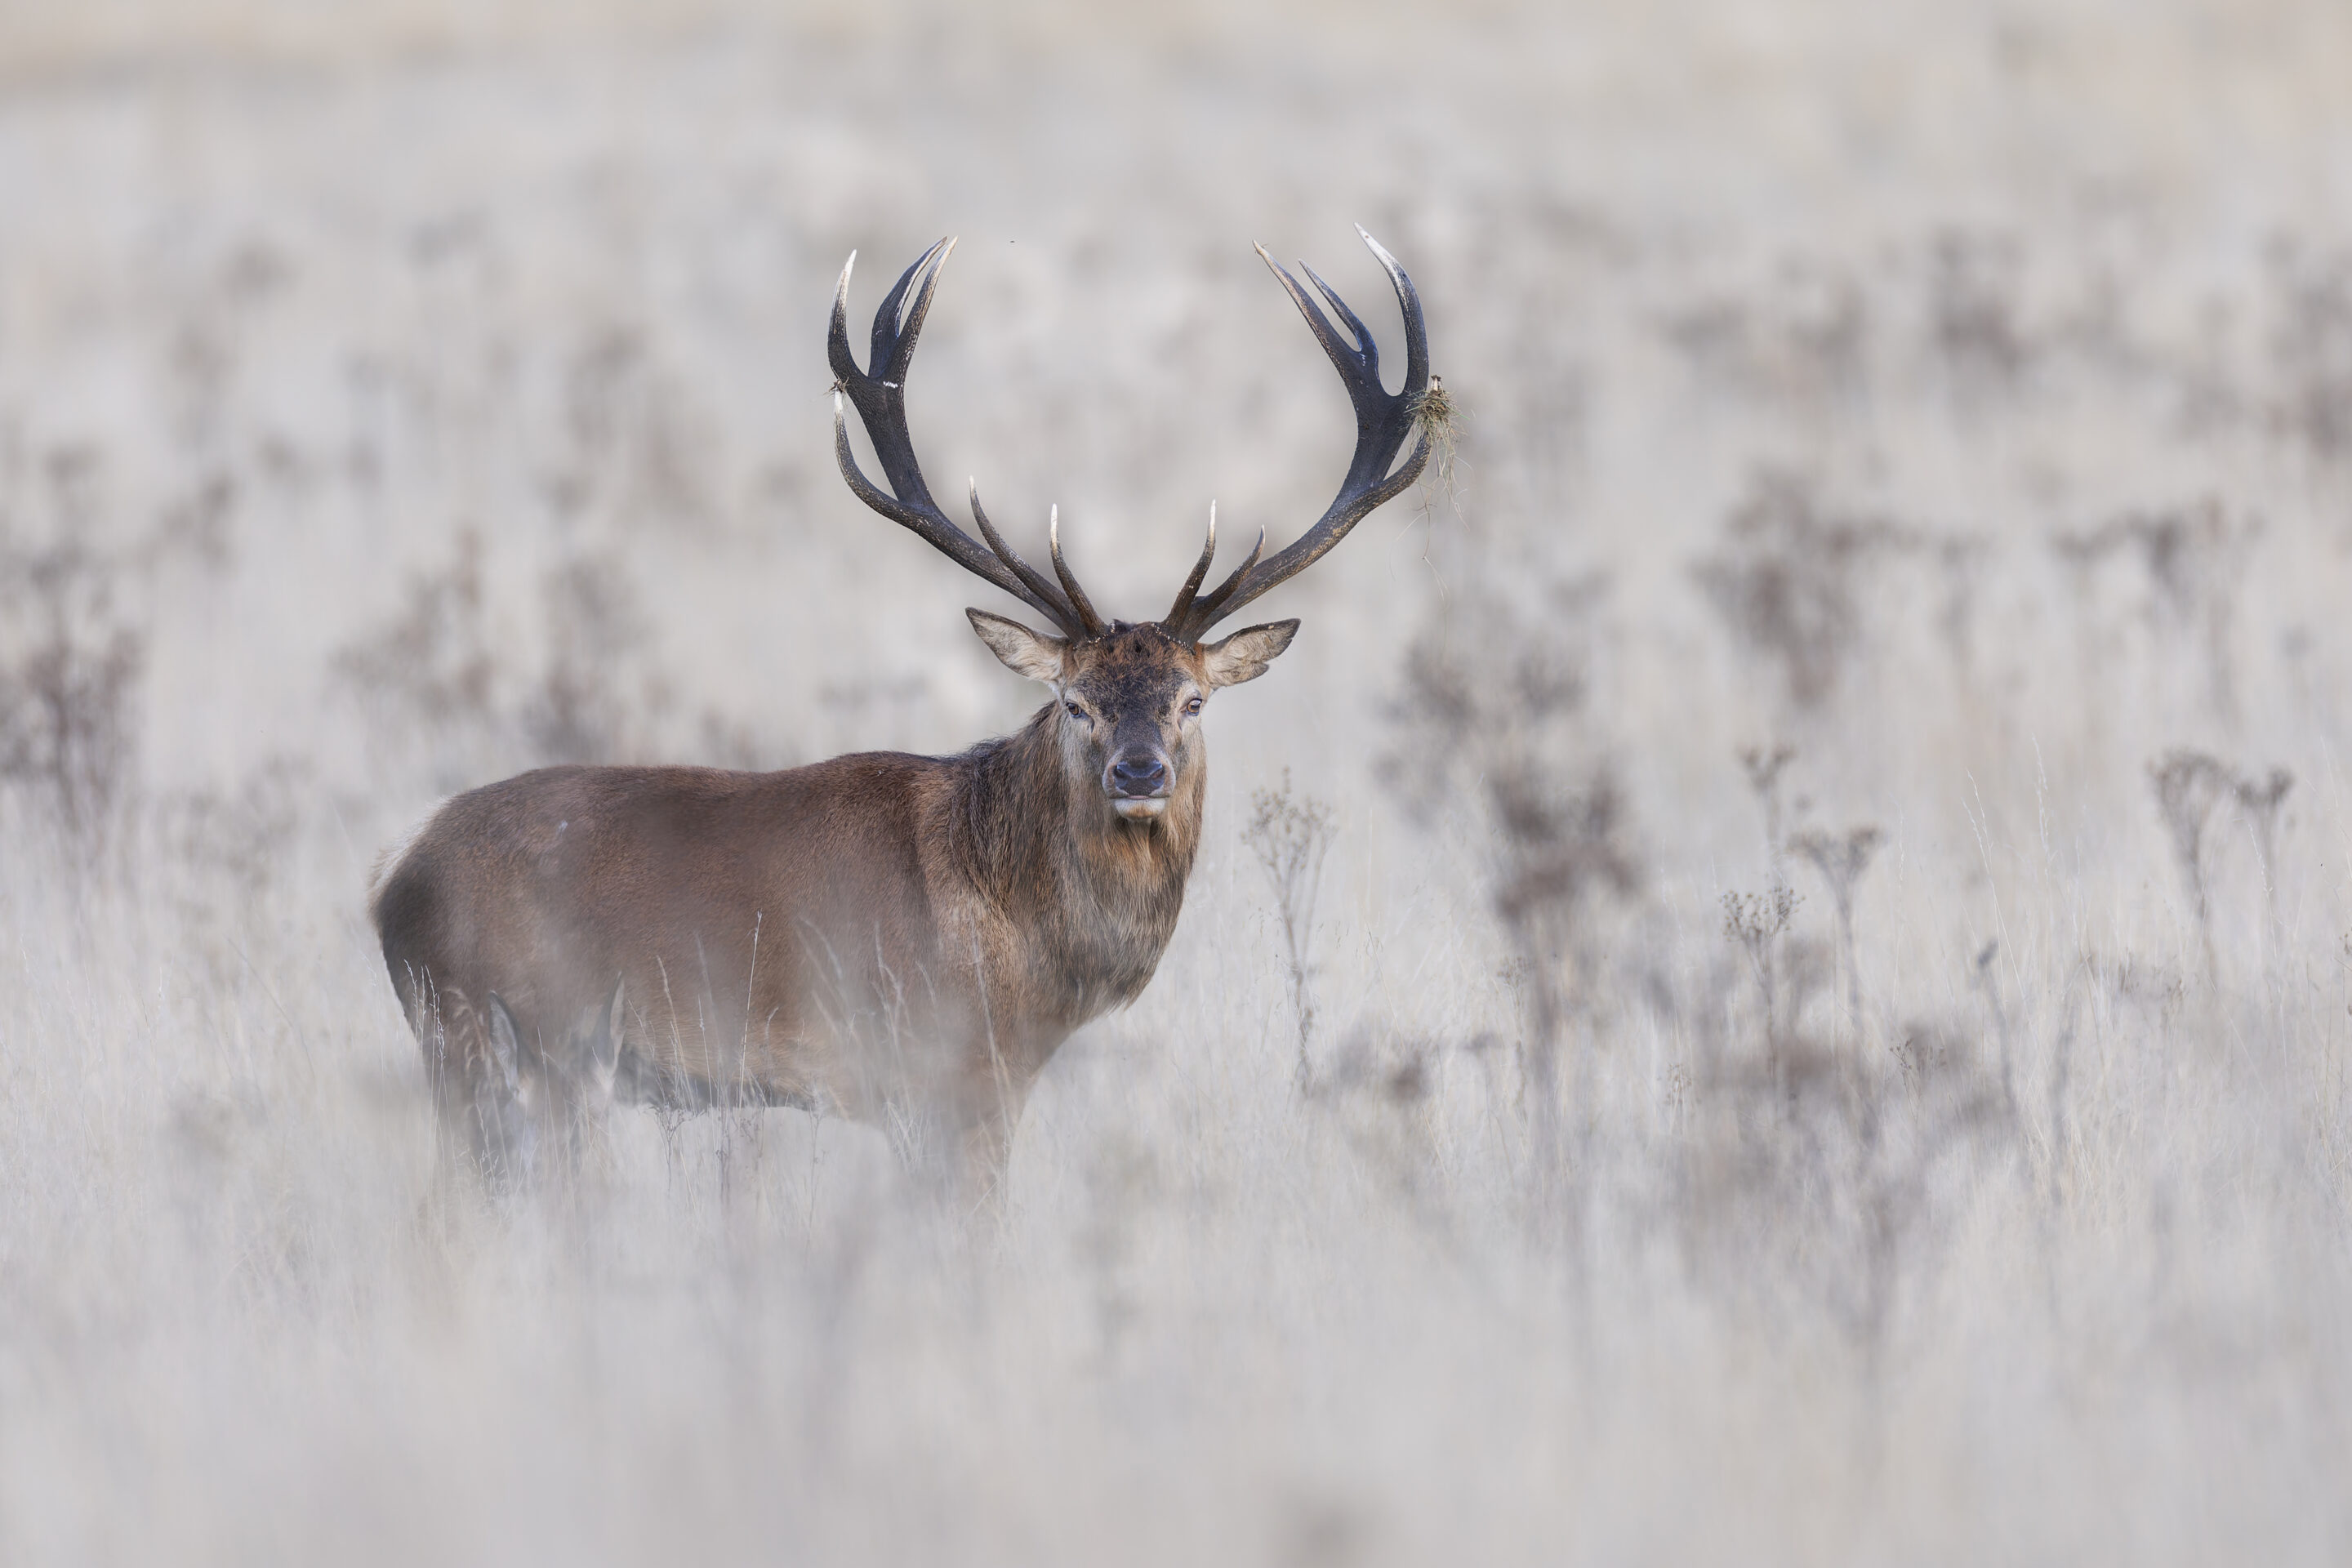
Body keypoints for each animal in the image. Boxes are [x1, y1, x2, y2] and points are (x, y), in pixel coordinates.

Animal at [368, 227, 1433, 1194]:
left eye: (1193, 699)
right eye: (1074, 702)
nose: (1140, 772)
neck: (1029, 956)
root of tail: (392, 876)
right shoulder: (944, 1075)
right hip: (509, 1038)